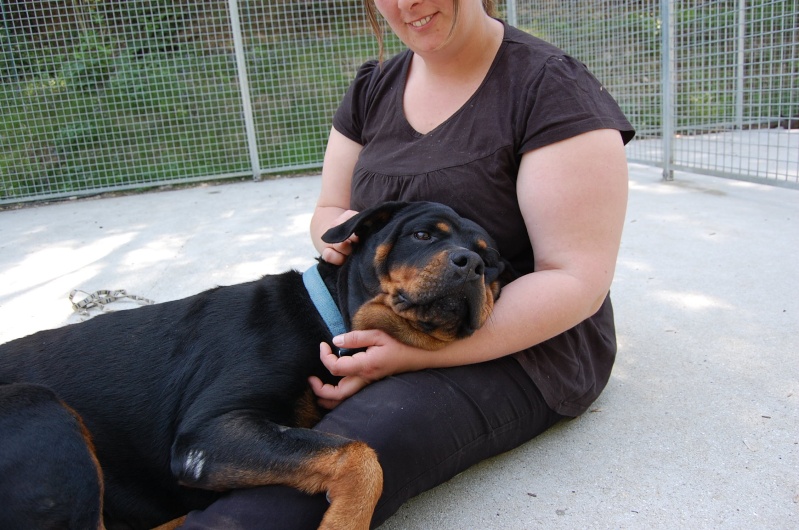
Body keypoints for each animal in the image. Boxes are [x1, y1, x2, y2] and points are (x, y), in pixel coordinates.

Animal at [0, 201, 506, 528]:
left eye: (494, 263)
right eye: (422, 234)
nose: (472, 264)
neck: (325, 318)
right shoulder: (207, 434)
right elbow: (359, 456)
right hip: (39, 406)